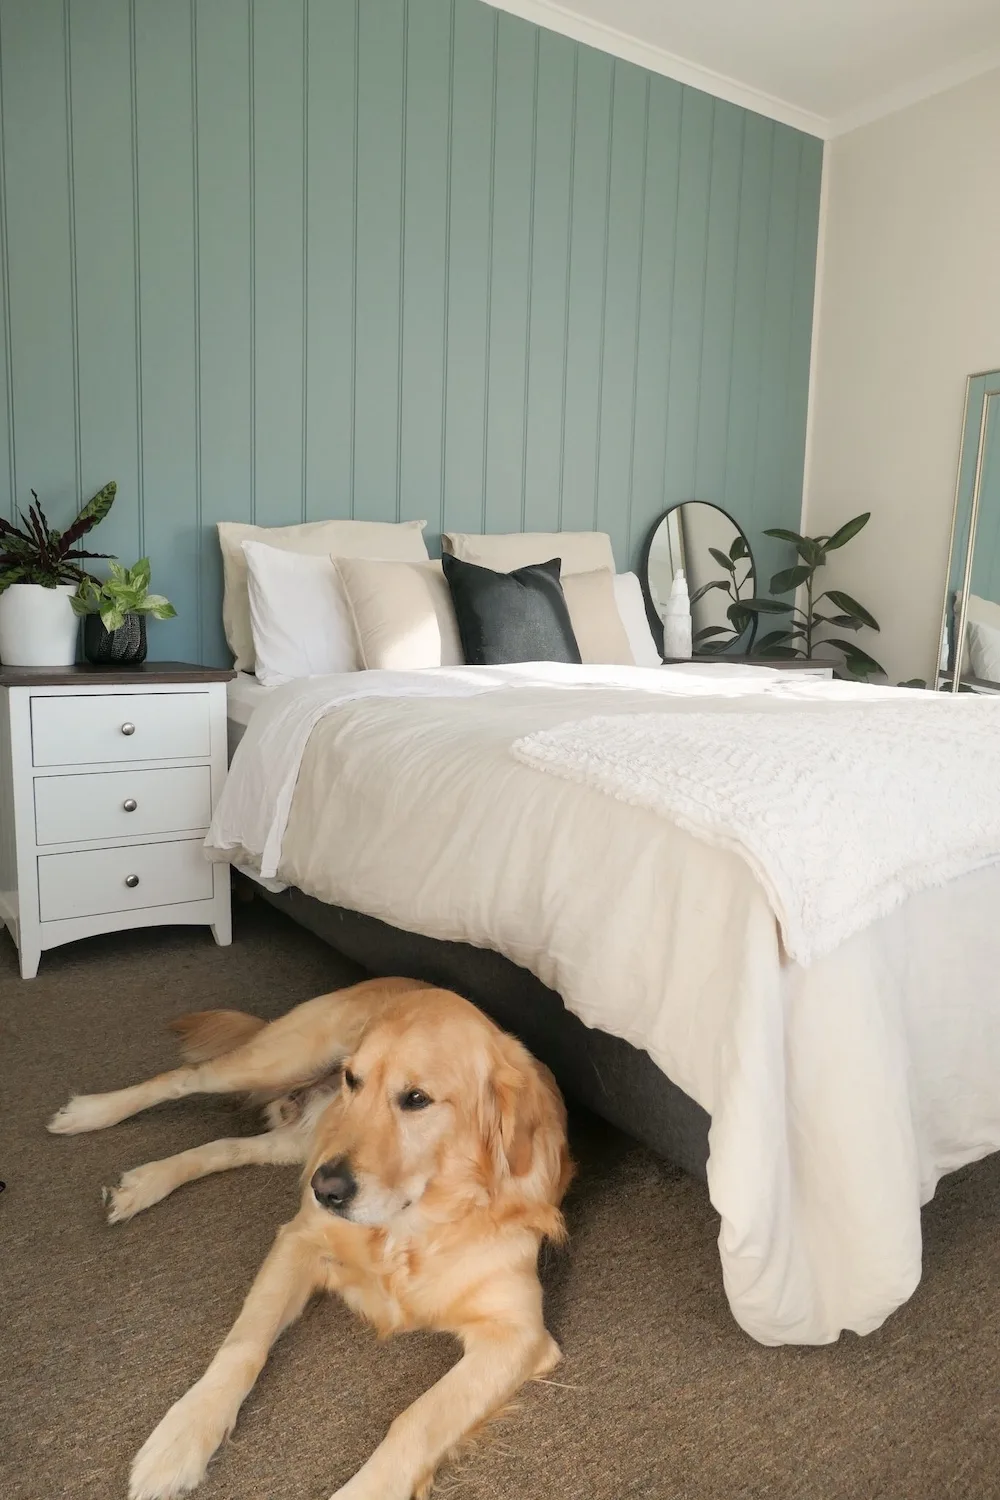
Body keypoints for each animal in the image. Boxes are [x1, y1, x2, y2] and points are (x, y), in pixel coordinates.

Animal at [48, 978, 569, 1500]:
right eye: (353, 1080)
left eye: (417, 1098)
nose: (326, 1190)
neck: (410, 1226)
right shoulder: (299, 1240)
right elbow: (244, 1343)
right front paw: (183, 1435)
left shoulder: (517, 1332)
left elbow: (416, 1421)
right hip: (281, 1062)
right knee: (184, 1077)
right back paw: (92, 1112)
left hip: (300, 1143)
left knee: (226, 1147)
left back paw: (145, 1182)